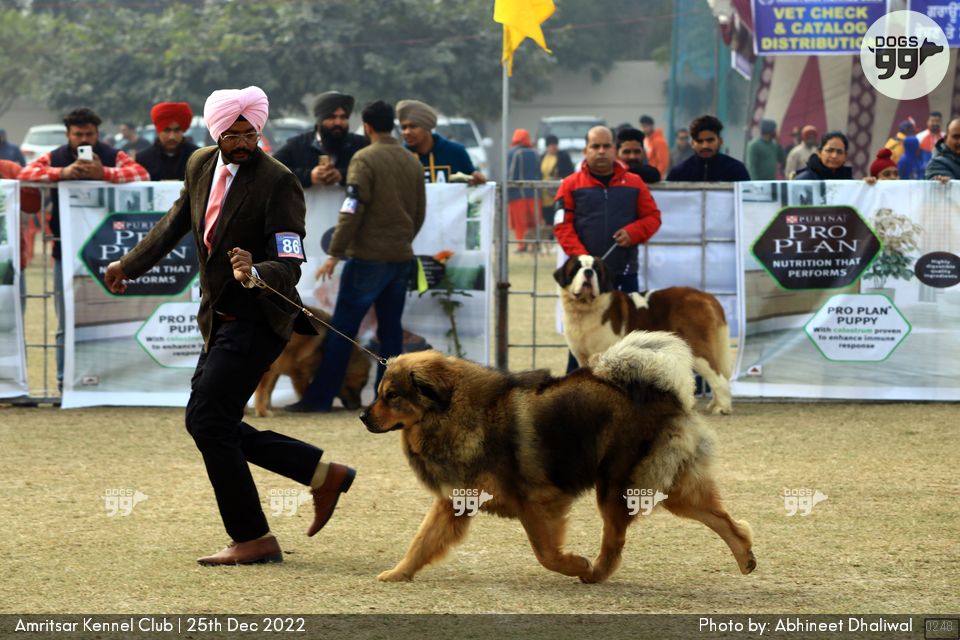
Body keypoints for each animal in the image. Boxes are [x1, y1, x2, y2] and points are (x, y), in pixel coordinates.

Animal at [360, 331, 756, 583]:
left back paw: (593, 573)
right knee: (723, 520)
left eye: (391, 395)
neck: (455, 412)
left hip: (617, 486)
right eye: (378, 393)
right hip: (666, 484)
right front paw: (399, 573)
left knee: (615, 540)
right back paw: (745, 556)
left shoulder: (536, 501)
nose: (363, 416)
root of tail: (665, 392)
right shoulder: (454, 502)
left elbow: (545, 553)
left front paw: (575, 564)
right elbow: (422, 542)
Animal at [554, 254, 733, 415]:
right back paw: (715, 404)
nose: (588, 272)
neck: (584, 309)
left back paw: (722, 407)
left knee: (718, 377)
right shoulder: (582, 356)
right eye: (576, 268)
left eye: (596, 269)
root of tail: (705, 296)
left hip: (697, 349)